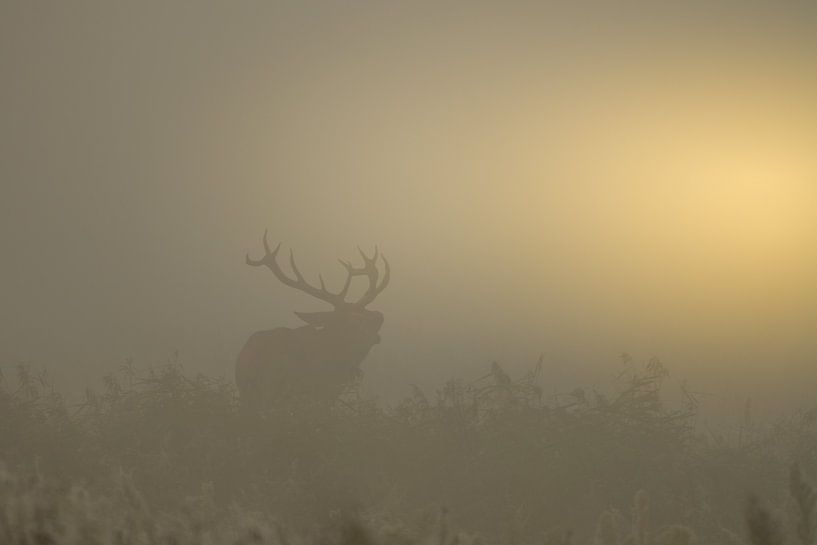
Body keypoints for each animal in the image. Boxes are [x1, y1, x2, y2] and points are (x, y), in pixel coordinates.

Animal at [235, 231, 390, 410]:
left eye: (366, 314)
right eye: (351, 322)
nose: (379, 317)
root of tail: (254, 356)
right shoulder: (322, 393)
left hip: (248, 393)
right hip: (271, 390)